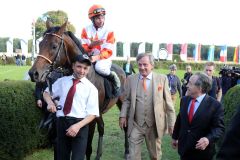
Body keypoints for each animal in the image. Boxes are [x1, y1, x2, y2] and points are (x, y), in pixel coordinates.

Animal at [28, 20, 129, 159]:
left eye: (54, 46)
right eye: (40, 44)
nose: (33, 73)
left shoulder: (90, 118)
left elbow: (87, 148)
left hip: (121, 102)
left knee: (125, 125)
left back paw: (127, 151)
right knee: (102, 127)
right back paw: (99, 155)